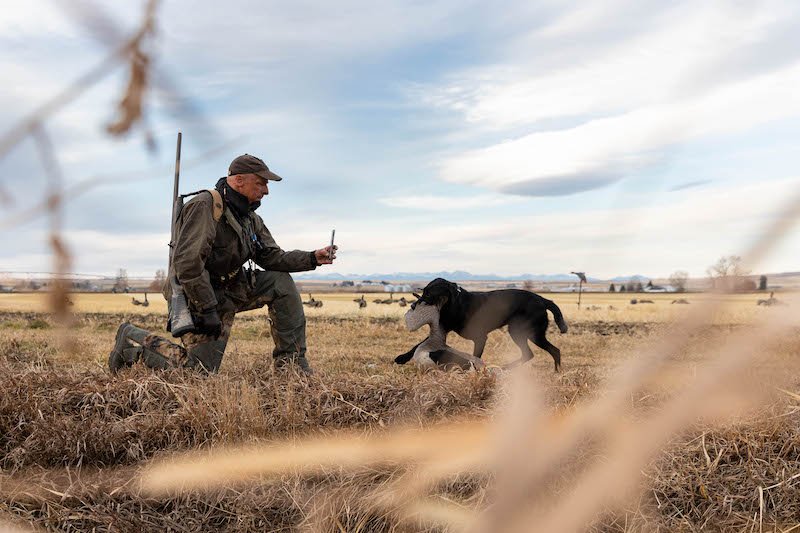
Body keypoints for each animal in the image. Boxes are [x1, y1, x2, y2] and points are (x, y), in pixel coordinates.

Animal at [394, 278, 568, 370]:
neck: (456, 305)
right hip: (520, 331)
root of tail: (543, 300)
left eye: (429, 294)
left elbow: (475, 356)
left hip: (527, 332)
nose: (413, 306)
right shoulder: (442, 330)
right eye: (423, 291)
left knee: (552, 351)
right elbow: (419, 344)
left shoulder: (480, 338)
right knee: (532, 353)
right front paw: (402, 357)